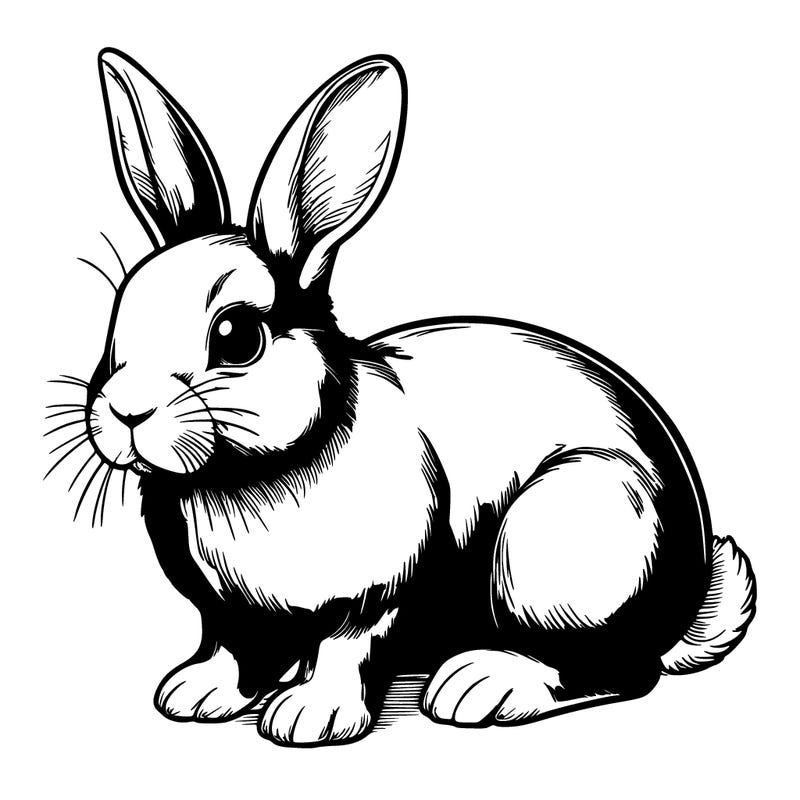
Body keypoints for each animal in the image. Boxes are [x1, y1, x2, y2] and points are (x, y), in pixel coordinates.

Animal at [71, 48, 755, 747]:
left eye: (236, 335)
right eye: (118, 314)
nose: (126, 413)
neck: (250, 474)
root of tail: (685, 593)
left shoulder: (377, 590)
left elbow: (346, 647)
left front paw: (310, 717)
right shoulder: (231, 613)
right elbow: (234, 647)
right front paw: (196, 695)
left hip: (564, 542)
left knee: (614, 668)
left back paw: (482, 686)